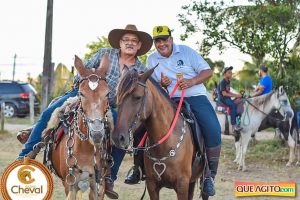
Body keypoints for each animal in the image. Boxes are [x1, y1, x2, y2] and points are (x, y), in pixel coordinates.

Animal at [49, 54, 111, 199]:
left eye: (107, 93)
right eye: (81, 93)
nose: (97, 133)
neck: (85, 148)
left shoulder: (99, 187)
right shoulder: (70, 186)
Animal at [111, 67, 207, 200]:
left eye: (138, 97)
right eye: (118, 96)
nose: (117, 137)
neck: (165, 142)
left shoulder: (182, 185)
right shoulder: (152, 185)